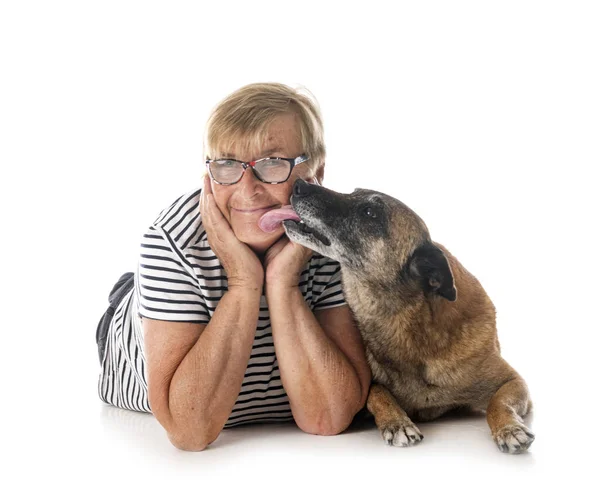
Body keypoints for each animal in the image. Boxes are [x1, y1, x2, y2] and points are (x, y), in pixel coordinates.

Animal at [284, 179, 536, 454]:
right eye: (354, 193)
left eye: (370, 213)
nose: (298, 185)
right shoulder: (365, 390)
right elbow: (379, 392)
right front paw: (397, 422)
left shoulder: (514, 382)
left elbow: (497, 403)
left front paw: (509, 429)